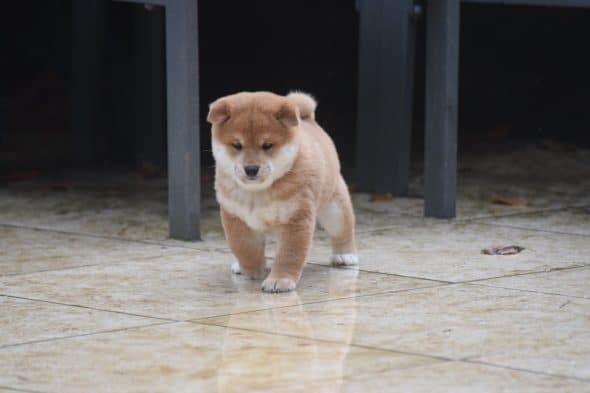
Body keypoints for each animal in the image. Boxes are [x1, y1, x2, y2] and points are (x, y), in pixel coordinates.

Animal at [208, 89, 358, 290]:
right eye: (237, 145)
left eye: (267, 145)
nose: (251, 169)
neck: (257, 193)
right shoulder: (236, 218)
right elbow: (245, 248)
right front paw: (253, 272)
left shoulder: (295, 218)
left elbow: (288, 255)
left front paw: (280, 280)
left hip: (335, 209)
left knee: (343, 230)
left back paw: (345, 255)